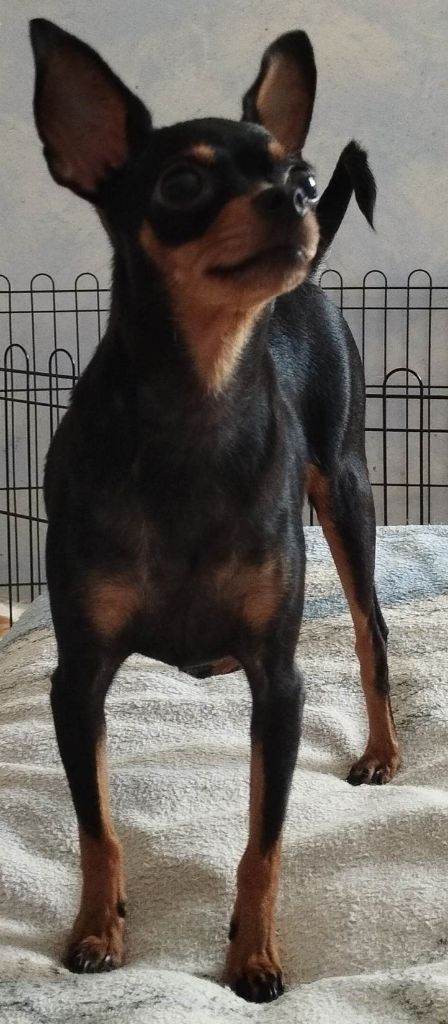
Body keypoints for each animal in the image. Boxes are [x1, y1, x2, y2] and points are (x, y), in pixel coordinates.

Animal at [30, 18, 400, 1003]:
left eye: (301, 178)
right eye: (182, 184)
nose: (293, 203)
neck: (201, 401)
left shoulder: (282, 685)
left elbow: (263, 844)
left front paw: (254, 955)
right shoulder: (78, 682)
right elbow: (97, 827)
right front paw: (97, 932)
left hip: (345, 491)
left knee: (371, 630)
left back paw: (384, 750)